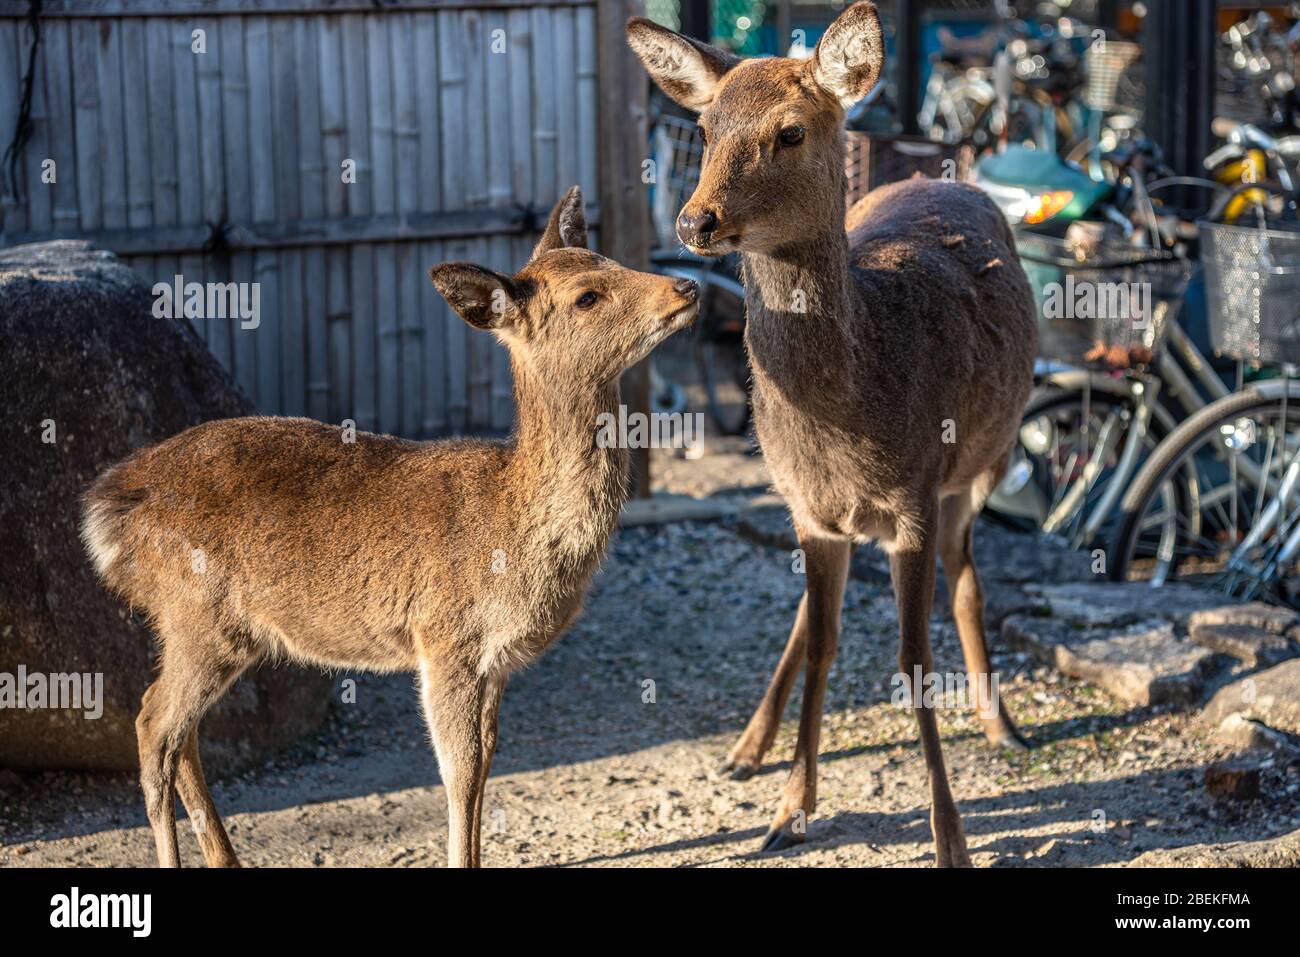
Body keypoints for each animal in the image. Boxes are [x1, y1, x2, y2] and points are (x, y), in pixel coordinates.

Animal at [82, 187, 702, 868]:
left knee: (180, 732)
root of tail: (107, 508)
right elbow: (459, 771)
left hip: (208, 629)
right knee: (153, 723)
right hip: (196, 613)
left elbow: (486, 762)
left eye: (608, 258)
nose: (686, 285)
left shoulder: (494, 661)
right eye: (587, 295)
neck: (515, 530)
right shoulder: (445, 637)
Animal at [629, 1, 1034, 868]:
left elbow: (912, 660)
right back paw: (745, 746)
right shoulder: (809, 506)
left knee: (968, 573)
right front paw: (788, 810)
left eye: (789, 132)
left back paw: (1003, 723)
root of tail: (938, 175)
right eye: (706, 127)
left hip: (985, 459)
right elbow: (821, 638)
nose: (695, 218)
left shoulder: (915, 495)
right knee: (815, 614)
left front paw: (952, 838)